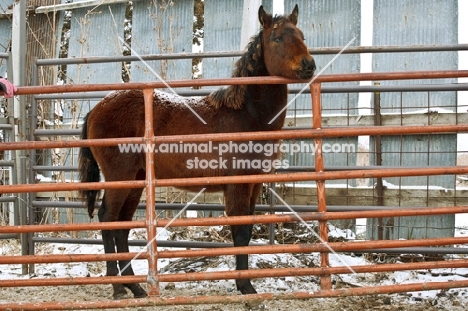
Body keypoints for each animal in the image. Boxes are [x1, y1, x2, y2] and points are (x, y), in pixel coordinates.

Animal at [79, 3, 314, 298]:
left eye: (302, 35)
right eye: (277, 38)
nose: (309, 65)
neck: (246, 115)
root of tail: (97, 108)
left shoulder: (254, 182)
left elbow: (247, 230)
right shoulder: (236, 184)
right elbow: (240, 231)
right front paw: (245, 285)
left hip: (136, 180)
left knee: (122, 227)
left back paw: (136, 287)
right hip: (119, 178)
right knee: (108, 219)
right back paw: (119, 287)